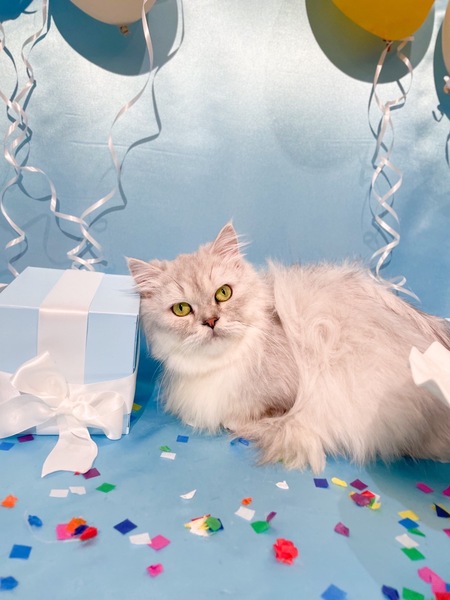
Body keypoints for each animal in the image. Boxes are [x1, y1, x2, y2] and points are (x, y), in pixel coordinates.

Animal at [128, 222, 450, 473]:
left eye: (223, 293)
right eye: (181, 309)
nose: (211, 321)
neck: (223, 364)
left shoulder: (291, 396)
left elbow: (250, 417)